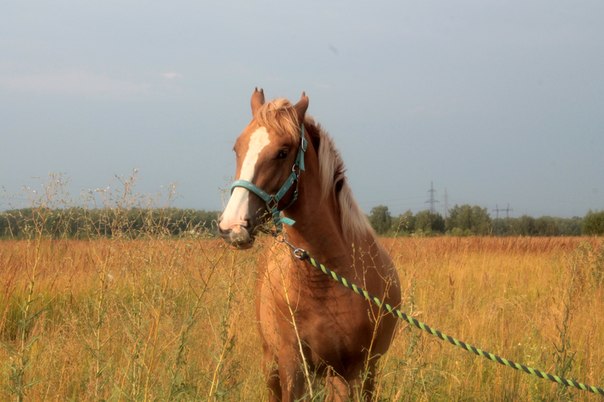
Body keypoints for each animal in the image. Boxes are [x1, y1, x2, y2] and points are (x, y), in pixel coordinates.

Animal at [218, 88, 401, 401]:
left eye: (283, 151)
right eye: (237, 147)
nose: (233, 227)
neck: (329, 276)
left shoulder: (358, 370)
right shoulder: (292, 363)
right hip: (273, 365)